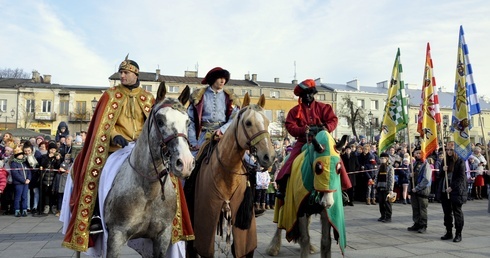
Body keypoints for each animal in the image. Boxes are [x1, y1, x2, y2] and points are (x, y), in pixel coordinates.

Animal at [104, 83, 194, 258]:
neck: (149, 191)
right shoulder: (116, 236)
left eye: (188, 122)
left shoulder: (162, 236)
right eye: (160, 121)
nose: (185, 163)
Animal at [189, 93, 278, 256]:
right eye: (248, 123)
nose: (269, 157)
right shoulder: (205, 223)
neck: (226, 173)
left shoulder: (245, 232)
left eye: (267, 122)